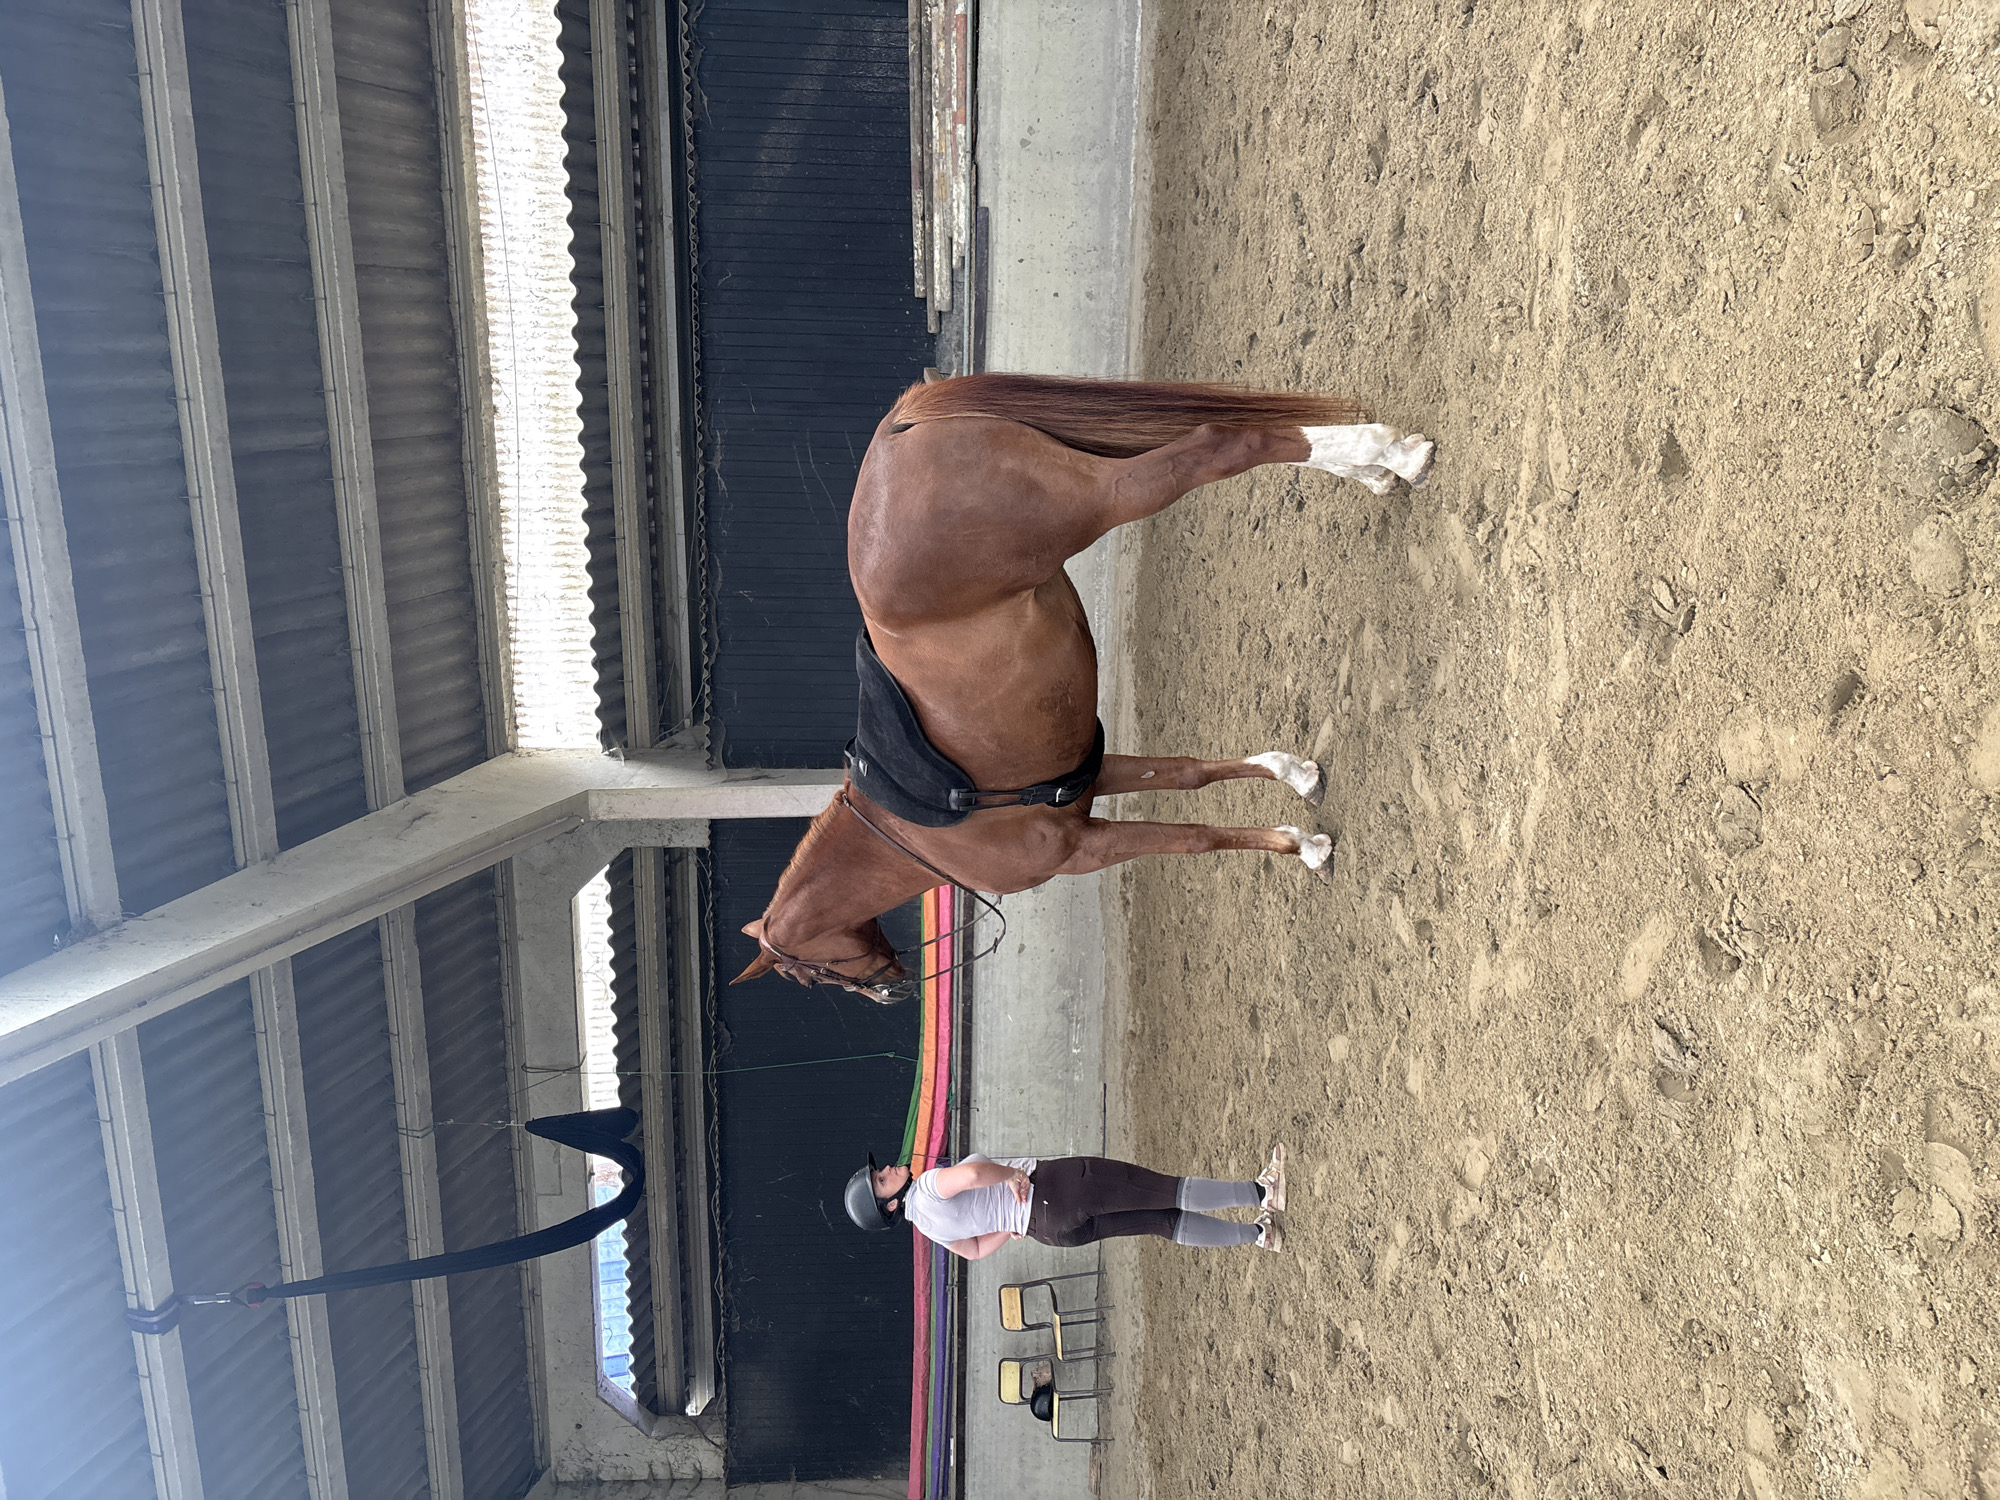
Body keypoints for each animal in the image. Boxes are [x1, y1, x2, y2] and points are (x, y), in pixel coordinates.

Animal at [732, 373, 1435, 1001]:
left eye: (813, 974)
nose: (890, 988)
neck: (916, 830)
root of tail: (893, 432)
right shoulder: (1092, 774)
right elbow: (1187, 774)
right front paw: (1294, 777)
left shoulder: (1082, 851)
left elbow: (1194, 837)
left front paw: (1304, 848)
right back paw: (1375, 469)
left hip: (1107, 495)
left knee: (1222, 446)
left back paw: (1391, 454)